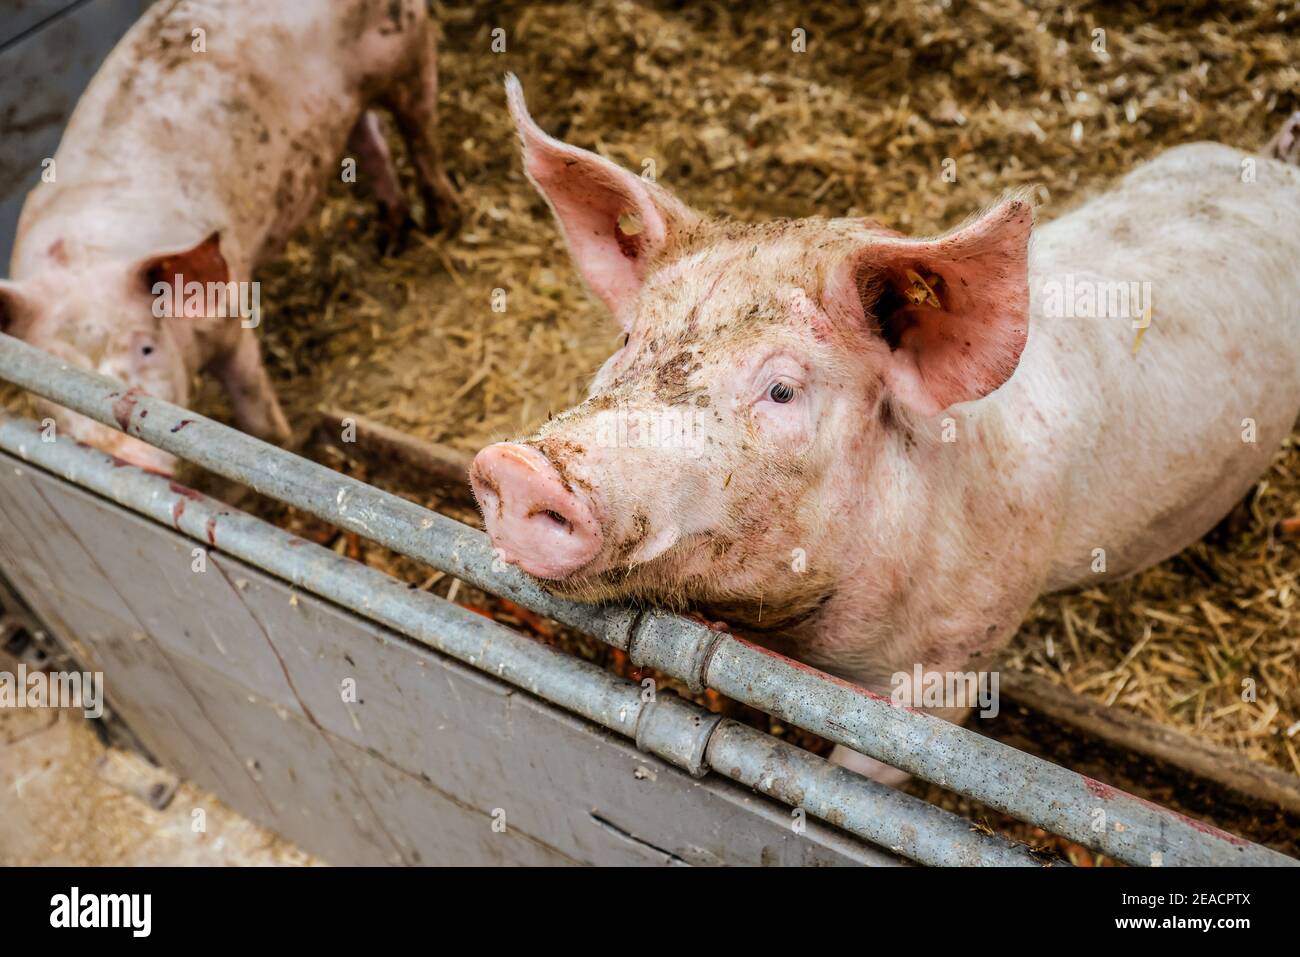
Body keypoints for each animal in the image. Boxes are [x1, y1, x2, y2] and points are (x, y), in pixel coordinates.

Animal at [0, 0, 460, 470]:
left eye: (146, 348)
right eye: (54, 368)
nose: (125, 455)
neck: (85, 254)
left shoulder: (232, 317)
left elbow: (255, 414)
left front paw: (275, 446)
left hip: (405, 44)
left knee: (419, 131)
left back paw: (445, 219)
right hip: (350, 102)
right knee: (370, 140)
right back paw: (390, 241)